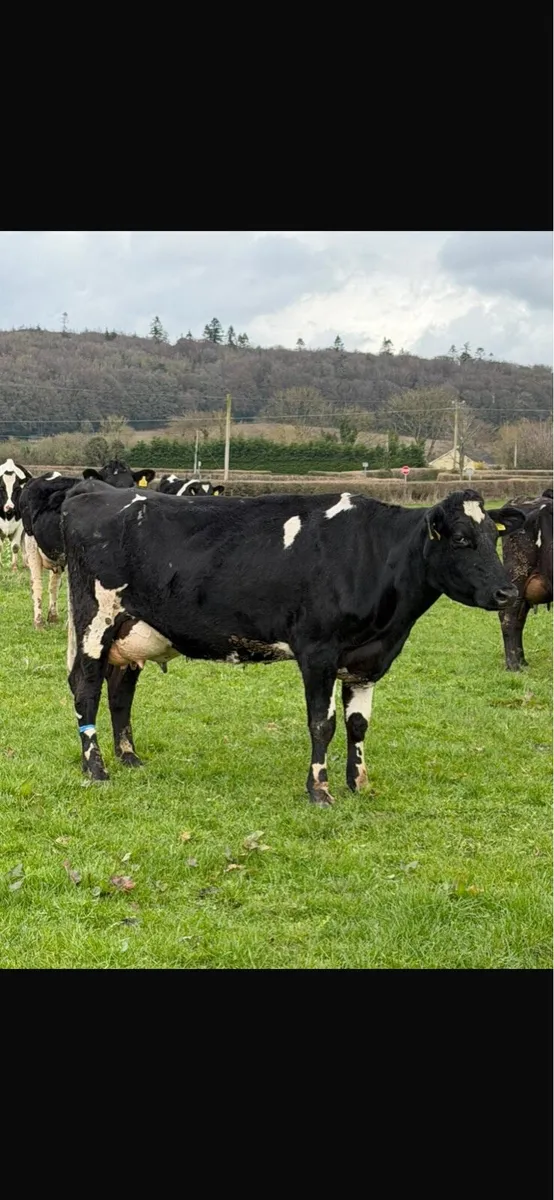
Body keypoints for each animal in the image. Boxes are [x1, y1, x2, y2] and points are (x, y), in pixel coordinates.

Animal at [19, 460, 155, 628]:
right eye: (107, 483)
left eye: (131, 485)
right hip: (31, 541)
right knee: (36, 582)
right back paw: (38, 622)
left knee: (54, 583)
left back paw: (53, 616)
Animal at [61, 484, 526, 804]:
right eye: (461, 538)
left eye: (494, 536)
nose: (507, 593)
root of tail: (94, 491)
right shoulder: (318, 652)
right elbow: (322, 724)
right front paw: (319, 790)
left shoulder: (367, 659)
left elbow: (359, 724)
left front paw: (359, 783)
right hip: (95, 623)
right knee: (86, 691)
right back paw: (95, 768)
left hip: (131, 632)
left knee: (120, 692)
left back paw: (129, 757)